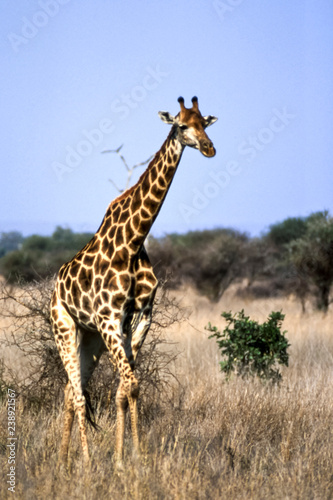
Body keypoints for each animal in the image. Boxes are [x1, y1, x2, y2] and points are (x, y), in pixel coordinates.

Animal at [49, 95, 215, 462]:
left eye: (205, 124)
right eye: (182, 125)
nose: (210, 148)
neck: (133, 242)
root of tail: (55, 288)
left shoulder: (139, 319)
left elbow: (127, 388)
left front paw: (130, 457)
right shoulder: (110, 320)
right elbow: (129, 384)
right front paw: (122, 460)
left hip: (90, 337)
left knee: (70, 389)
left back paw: (64, 461)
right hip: (64, 326)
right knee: (77, 393)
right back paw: (83, 462)